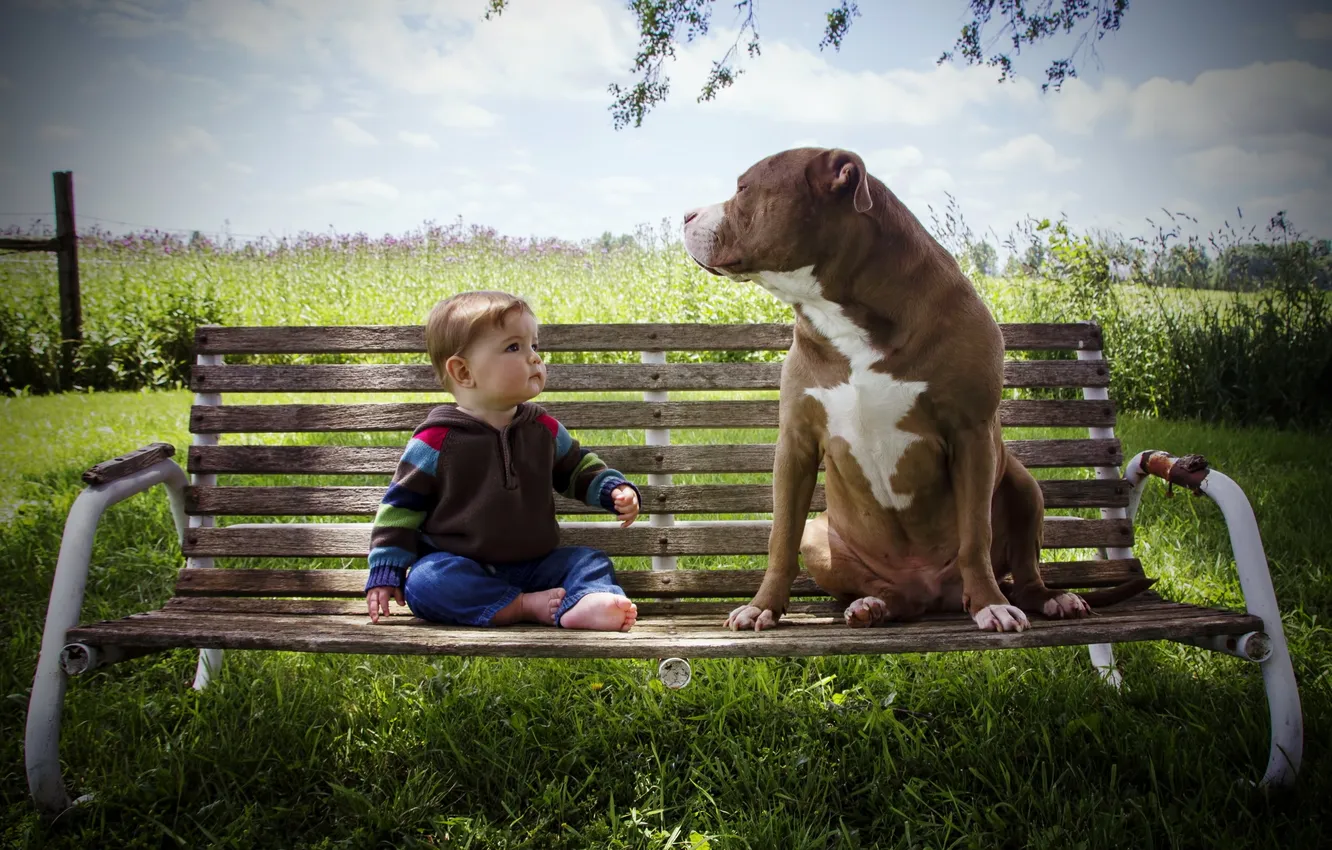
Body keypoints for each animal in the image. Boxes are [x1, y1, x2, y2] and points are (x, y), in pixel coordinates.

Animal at [687, 149, 1113, 634]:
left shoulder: (972, 434)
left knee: (1023, 573)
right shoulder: (795, 443)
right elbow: (780, 536)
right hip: (823, 534)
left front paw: (990, 604)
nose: (685, 215)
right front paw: (762, 607)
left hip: (1025, 488)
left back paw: (1049, 599)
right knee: (887, 591)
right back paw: (872, 605)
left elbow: (976, 535)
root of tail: (932, 594)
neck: (844, 315)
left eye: (743, 188)